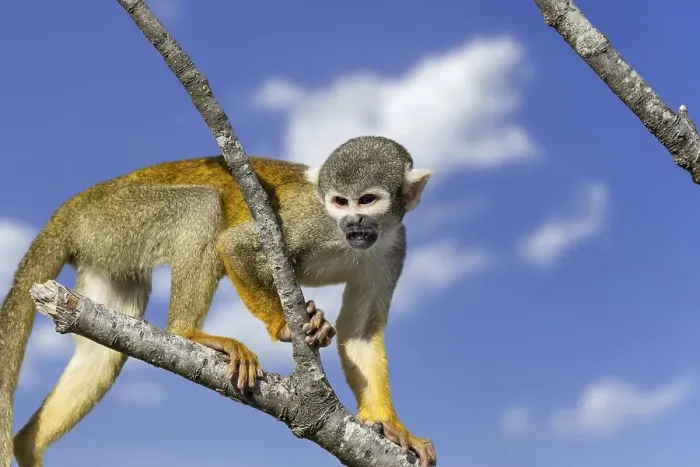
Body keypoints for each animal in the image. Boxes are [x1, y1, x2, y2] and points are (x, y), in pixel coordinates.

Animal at [0, 135, 437, 467]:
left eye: (367, 200)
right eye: (339, 202)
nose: (354, 224)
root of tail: (73, 206)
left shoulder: (393, 245)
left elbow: (360, 333)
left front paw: (393, 428)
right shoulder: (312, 221)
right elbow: (236, 245)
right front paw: (286, 325)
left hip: (104, 244)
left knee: (100, 355)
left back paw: (27, 446)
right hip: (114, 217)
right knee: (202, 206)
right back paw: (188, 333)